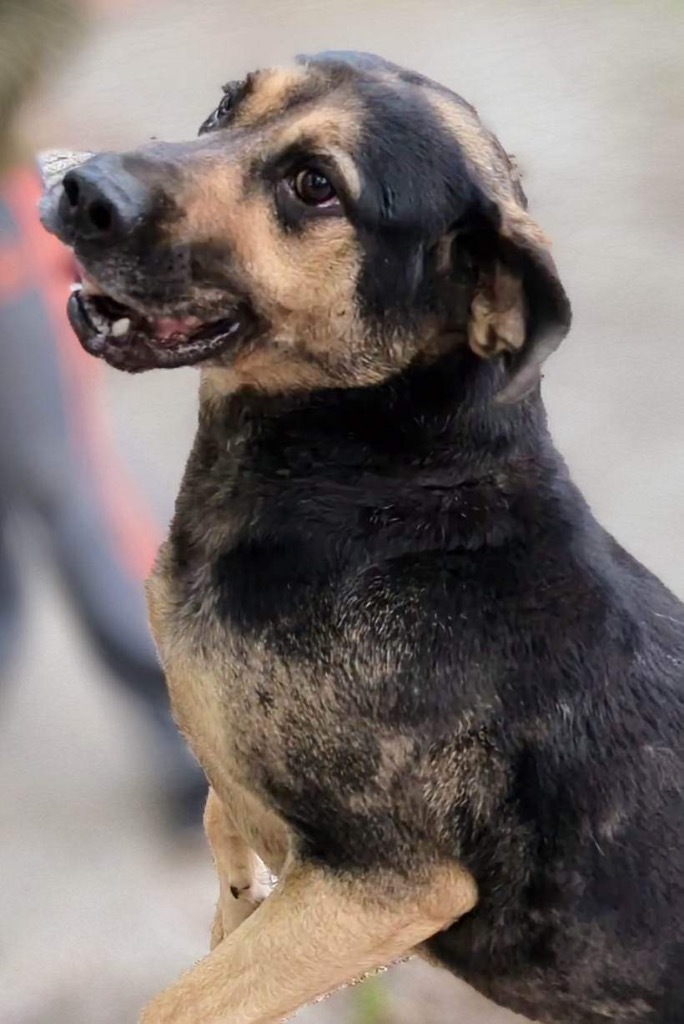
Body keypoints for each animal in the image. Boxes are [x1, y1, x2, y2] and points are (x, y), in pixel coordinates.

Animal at [40, 49, 679, 1024]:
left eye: (315, 186)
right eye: (226, 106)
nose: (80, 189)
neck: (383, 472)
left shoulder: (387, 886)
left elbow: (179, 1001)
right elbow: (224, 835)